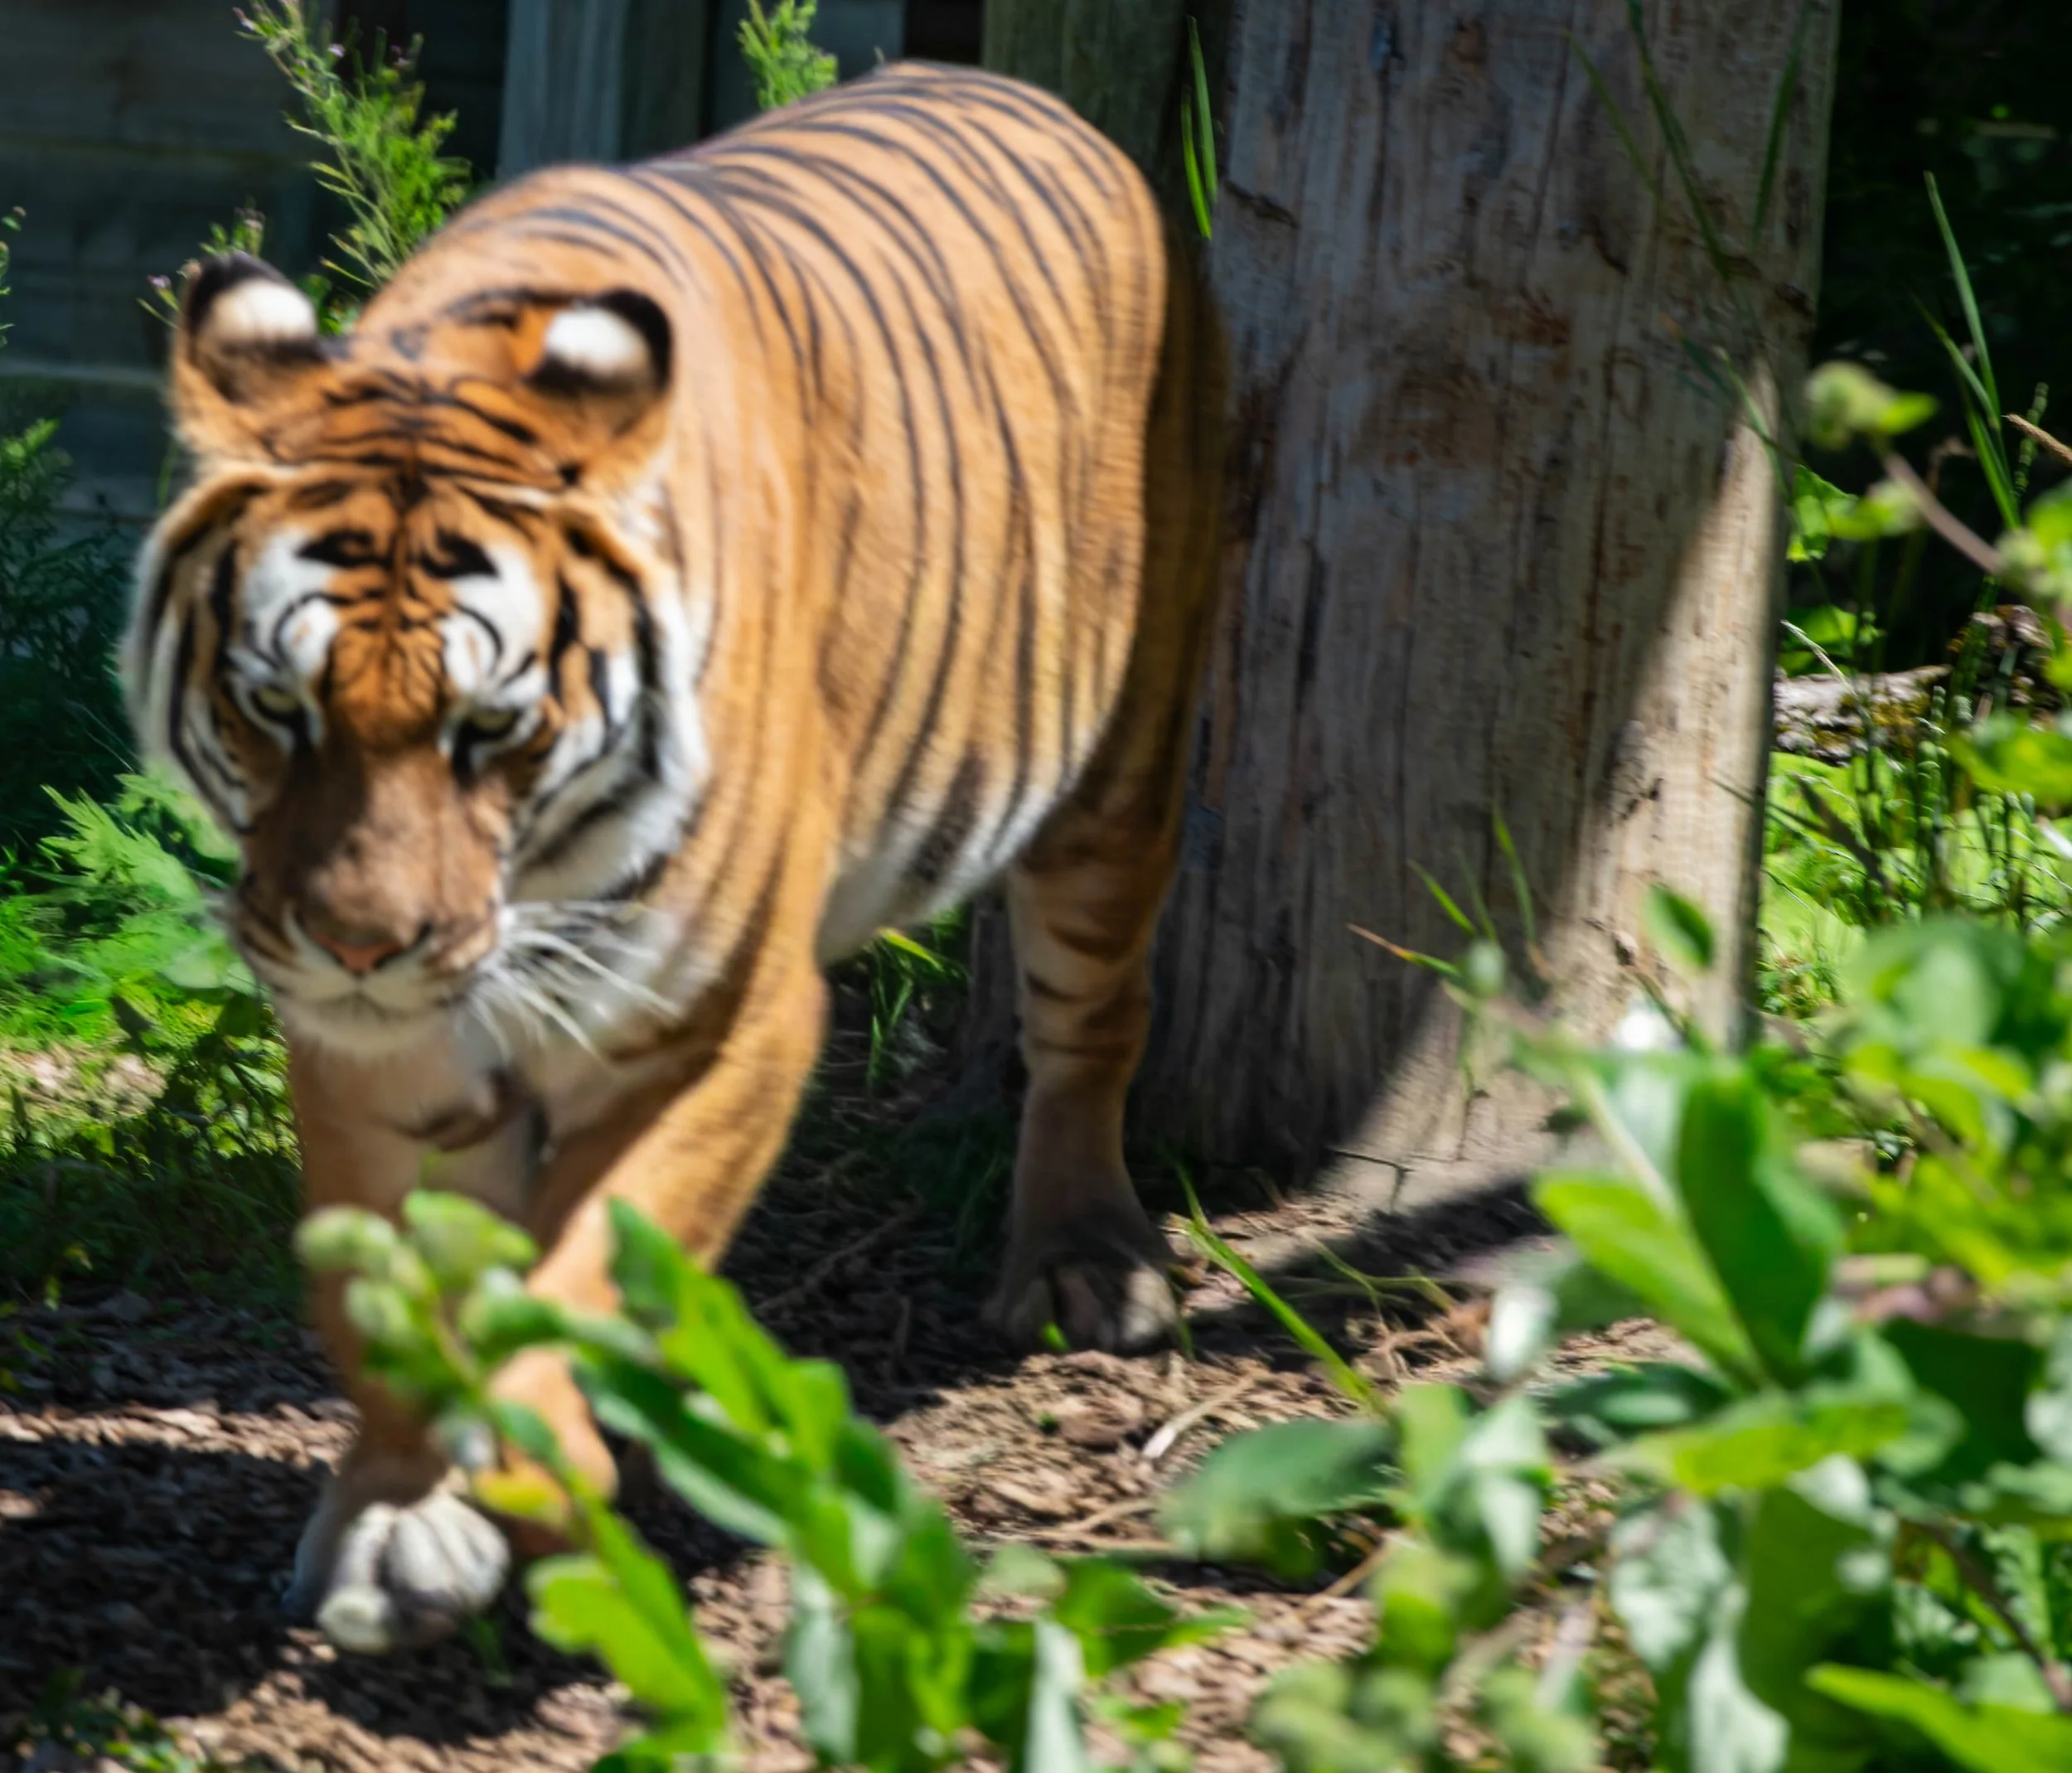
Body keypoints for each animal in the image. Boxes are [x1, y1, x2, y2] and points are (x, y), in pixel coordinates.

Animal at [125, 61, 1223, 1654]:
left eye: (490, 726)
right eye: (278, 706)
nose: (360, 944)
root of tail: (1023, 90)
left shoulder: (717, 1022)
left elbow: (583, 1275)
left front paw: (533, 1465)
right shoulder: (376, 1058)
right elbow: (386, 1299)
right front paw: (395, 1517)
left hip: (1120, 763)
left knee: (1092, 1020)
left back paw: (1086, 1264)